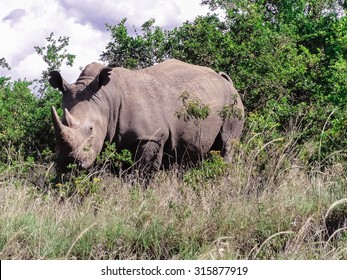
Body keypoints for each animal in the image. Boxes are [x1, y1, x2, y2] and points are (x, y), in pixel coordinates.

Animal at [49, 59, 245, 176]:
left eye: (91, 129)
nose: (68, 163)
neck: (106, 98)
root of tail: (226, 80)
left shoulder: (151, 136)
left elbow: (143, 173)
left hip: (233, 104)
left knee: (227, 144)